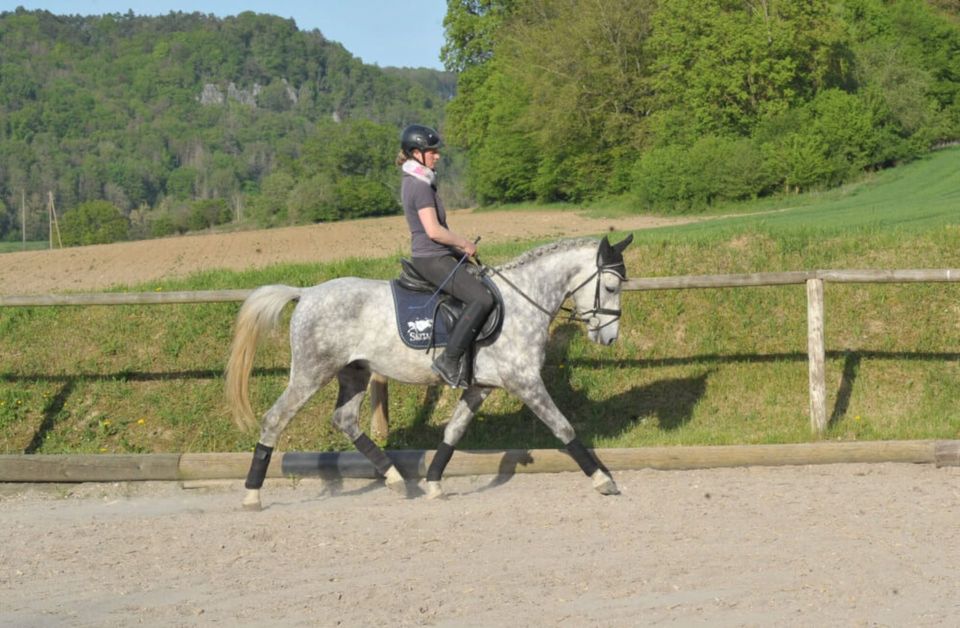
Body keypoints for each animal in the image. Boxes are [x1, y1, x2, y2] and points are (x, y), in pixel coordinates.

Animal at [224, 236, 632, 510]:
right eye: (611, 286)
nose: (610, 338)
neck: (522, 301)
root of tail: (306, 293)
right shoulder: (525, 381)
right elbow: (563, 428)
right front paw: (603, 479)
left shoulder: (481, 387)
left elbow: (452, 432)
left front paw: (434, 483)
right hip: (311, 372)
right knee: (274, 419)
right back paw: (252, 494)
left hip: (354, 372)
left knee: (344, 419)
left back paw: (396, 479)